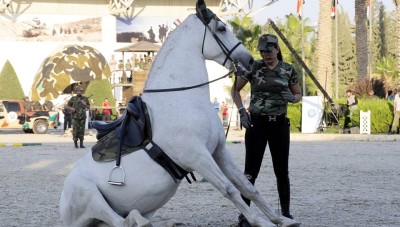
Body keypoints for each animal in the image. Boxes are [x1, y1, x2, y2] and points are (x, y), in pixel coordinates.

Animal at [58, 0, 296, 226]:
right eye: (221, 28)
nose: (250, 60)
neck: (182, 97)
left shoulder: (218, 151)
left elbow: (247, 186)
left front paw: (281, 219)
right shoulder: (198, 157)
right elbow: (229, 189)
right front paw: (261, 222)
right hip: (89, 194)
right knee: (121, 221)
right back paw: (141, 222)